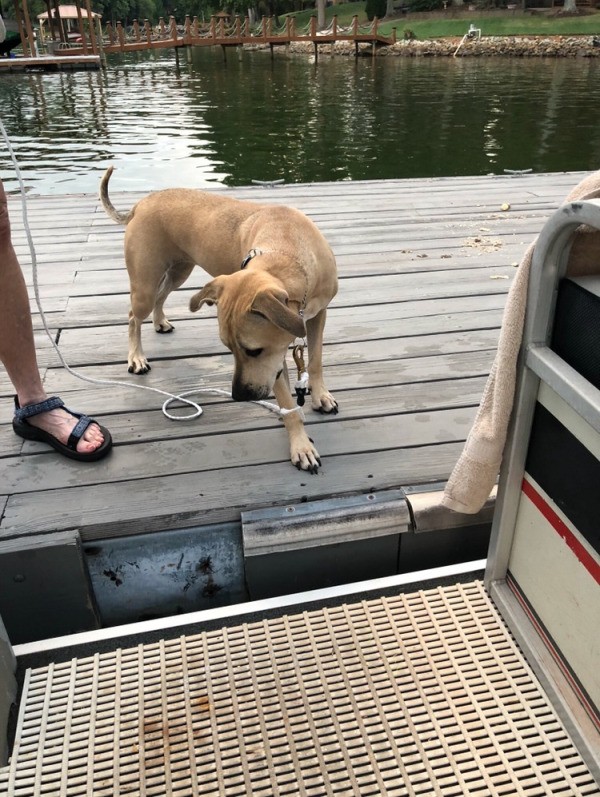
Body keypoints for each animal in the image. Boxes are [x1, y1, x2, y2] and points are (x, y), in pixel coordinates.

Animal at [101, 165, 340, 470]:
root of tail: (140, 204)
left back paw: (160, 322)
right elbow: (287, 400)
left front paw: (320, 396)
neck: (286, 250)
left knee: (161, 297)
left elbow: (316, 360)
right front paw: (300, 444)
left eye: (252, 350)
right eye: (228, 348)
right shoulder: (276, 356)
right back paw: (136, 357)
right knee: (134, 316)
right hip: (145, 283)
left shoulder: (317, 315)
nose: (238, 396)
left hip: (179, 271)